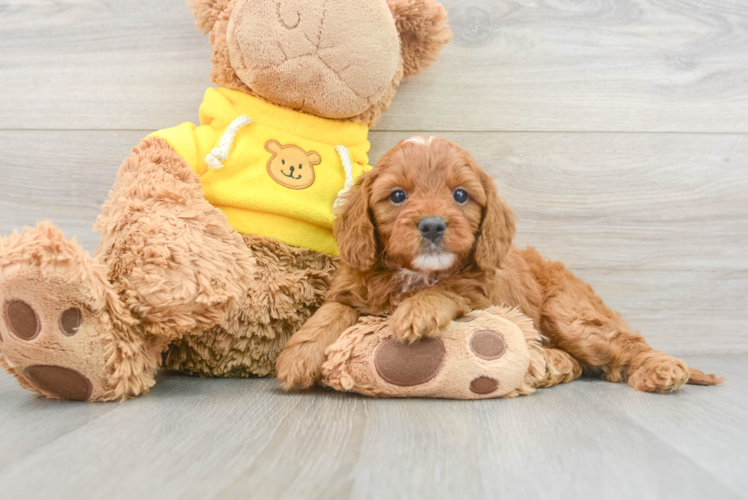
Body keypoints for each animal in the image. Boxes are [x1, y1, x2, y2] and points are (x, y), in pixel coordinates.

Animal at [276, 135, 724, 392]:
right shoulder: (353, 287)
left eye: (460, 195)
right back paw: (555, 364)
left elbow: (449, 289)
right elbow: (330, 312)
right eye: (398, 196)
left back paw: (663, 370)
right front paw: (299, 356)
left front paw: (417, 312)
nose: (433, 225)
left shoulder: (484, 294)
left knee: (625, 347)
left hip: (569, 313)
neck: (415, 273)